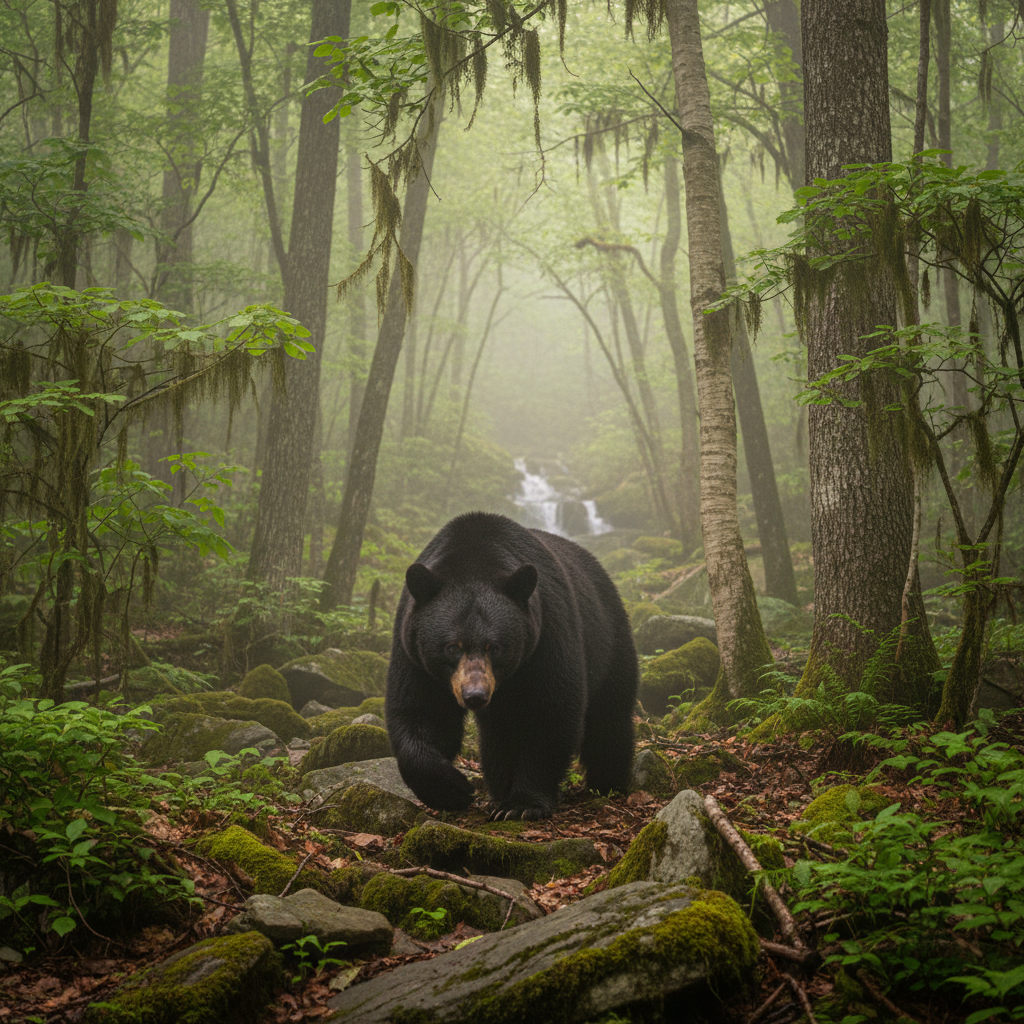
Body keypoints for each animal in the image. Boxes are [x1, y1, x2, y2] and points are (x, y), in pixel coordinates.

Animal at [385, 511, 639, 820]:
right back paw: (498, 790)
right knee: (498, 733)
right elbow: (421, 711)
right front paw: (453, 790)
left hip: (608, 638)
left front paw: (523, 804)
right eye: (452, 647)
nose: (475, 695)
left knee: (610, 714)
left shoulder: (547, 633)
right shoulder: (413, 650)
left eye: (494, 647)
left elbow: (551, 711)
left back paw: (608, 782)